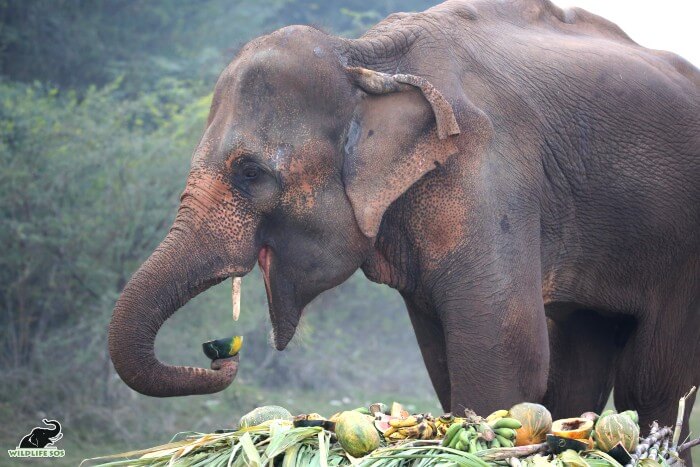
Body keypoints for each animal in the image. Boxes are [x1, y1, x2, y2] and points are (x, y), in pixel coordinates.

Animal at [106, 0, 696, 460]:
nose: (223, 357)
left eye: (250, 172)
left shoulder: (490, 174)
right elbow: (443, 354)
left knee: (653, 382)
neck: (365, 58)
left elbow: (504, 353)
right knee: (583, 362)